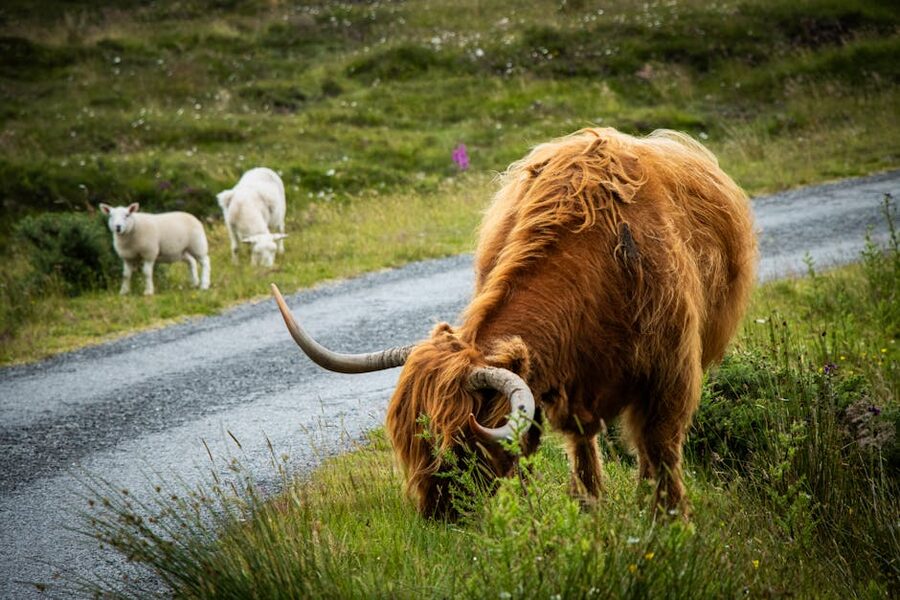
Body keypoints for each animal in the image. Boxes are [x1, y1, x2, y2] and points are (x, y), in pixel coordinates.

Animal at [271, 127, 757, 519]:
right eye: (410, 443)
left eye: (459, 444)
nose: (439, 514)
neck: (597, 266)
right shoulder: (566, 390)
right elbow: (578, 445)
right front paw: (587, 508)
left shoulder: (670, 375)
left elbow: (660, 448)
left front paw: (669, 519)